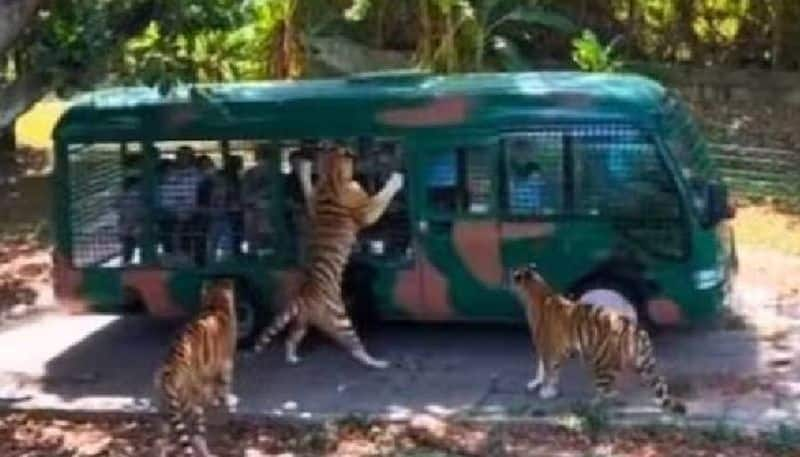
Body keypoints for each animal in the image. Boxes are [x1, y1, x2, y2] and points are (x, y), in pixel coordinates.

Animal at [152, 276, 236, 454]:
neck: (215, 302)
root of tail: (169, 373)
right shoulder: (226, 362)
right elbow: (224, 385)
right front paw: (224, 400)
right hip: (191, 402)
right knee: (197, 436)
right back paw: (206, 451)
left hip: (165, 408)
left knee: (163, 434)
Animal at [253, 144, 404, 368]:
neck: (332, 177)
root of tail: (303, 296)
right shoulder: (364, 211)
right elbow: (380, 199)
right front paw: (396, 179)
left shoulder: (313, 202)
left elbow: (308, 192)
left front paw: (303, 169)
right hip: (342, 320)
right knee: (355, 348)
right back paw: (376, 362)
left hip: (303, 322)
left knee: (291, 338)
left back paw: (292, 358)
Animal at [510, 262, 684, 416]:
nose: (508, 279)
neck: (537, 289)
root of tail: (634, 328)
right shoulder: (559, 349)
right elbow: (550, 369)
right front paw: (541, 385)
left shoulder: (546, 346)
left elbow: (548, 369)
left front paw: (546, 391)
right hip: (641, 363)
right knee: (657, 381)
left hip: (602, 365)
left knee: (608, 392)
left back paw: (590, 407)